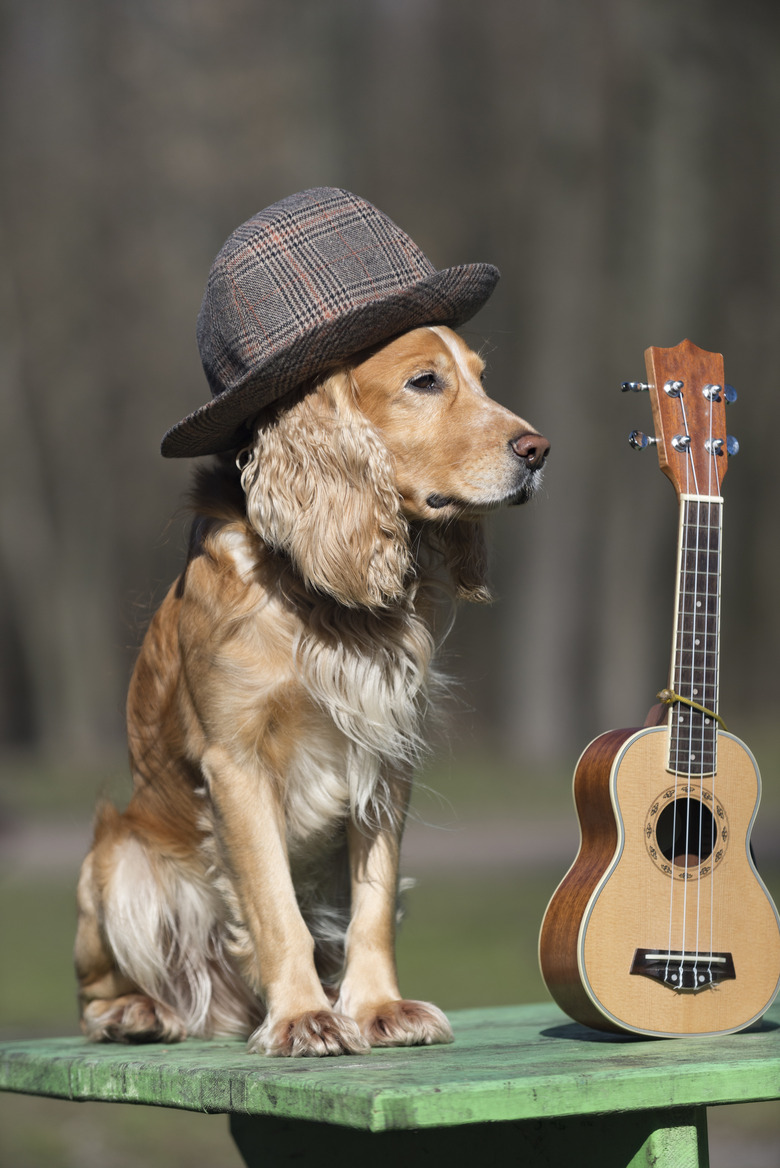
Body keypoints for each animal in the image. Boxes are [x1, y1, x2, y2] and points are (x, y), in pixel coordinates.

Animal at [74, 322, 548, 1060]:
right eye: (424, 381)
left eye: (480, 376)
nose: (537, 449)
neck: (314, 592)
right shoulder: (236, 764)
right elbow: (276, 908)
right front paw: (302, 1017)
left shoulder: (384, 755)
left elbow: (370, 906)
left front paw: (377, 1007)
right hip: (117, 862)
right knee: (99, 993)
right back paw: (139, 1011)